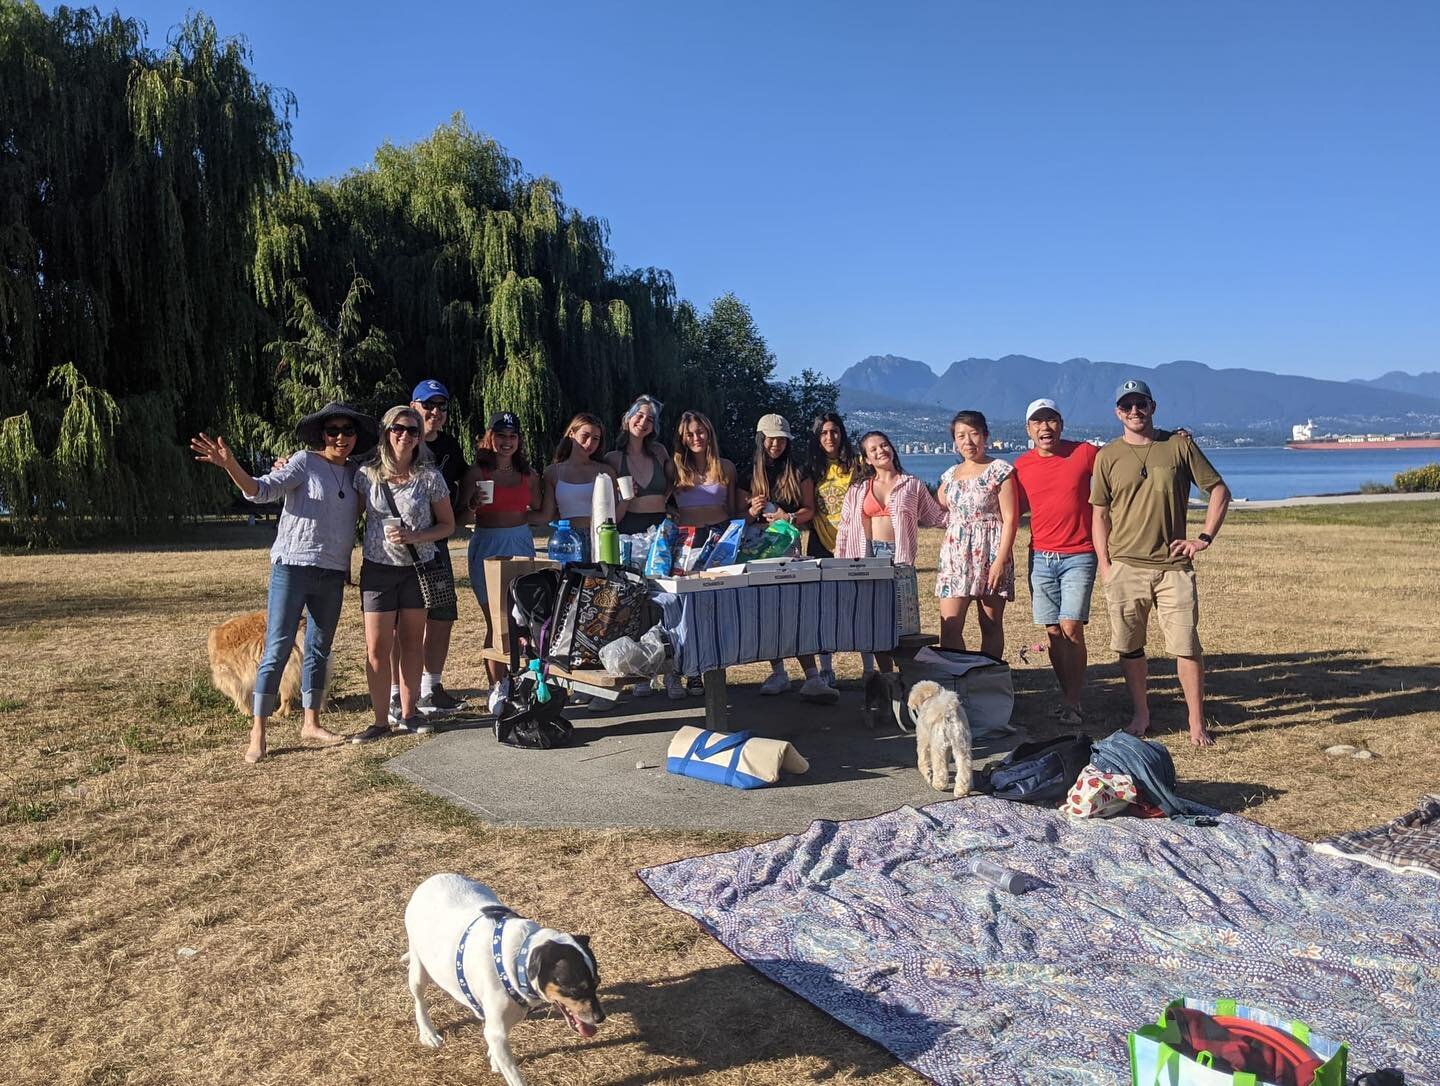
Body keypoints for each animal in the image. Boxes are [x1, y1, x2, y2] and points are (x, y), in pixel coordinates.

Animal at [403, 869, 604, 1083]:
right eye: (574, 989)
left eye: (597, 983)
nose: (600, 1017)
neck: (516, 961)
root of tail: (432, 879)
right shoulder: (497, 1033)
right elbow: (514, 1076)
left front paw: (493, 1060)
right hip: (419, 968)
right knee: (419, 1000)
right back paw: (428, 1033)